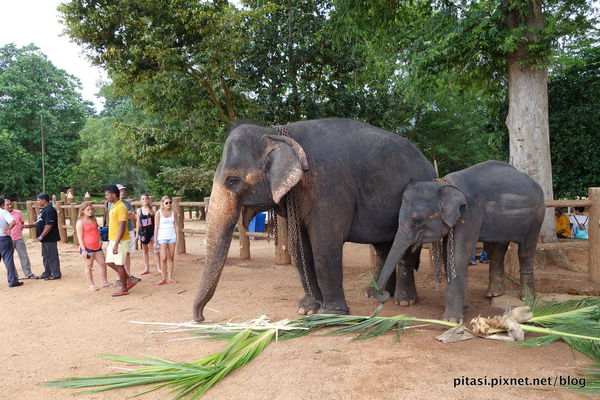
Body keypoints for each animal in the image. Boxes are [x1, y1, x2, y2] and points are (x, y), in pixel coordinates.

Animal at [192, 118, 436, 322]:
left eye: (232, 181)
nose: (201, 317)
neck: (278, 133)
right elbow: (299, 246)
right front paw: (307, 309)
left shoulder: (330, 188)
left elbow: (324, 246)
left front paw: (330, 313)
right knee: (383, 246)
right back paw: (373, 294)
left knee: (405, 246)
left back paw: (404, 301)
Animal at [368, 159, 548, 322]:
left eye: (418, 220)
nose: (379, 294)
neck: (445, 185)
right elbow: (448, 255)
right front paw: (463, 308)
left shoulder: (470, 213)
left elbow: (459, 256)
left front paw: (452, 321)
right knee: (497, 250)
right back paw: (494, 294)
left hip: (538, 215)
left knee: (525, 251)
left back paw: (526, 298)